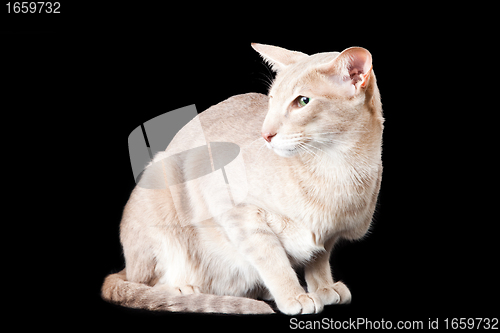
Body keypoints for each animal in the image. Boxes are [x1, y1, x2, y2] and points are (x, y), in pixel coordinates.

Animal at [100, 42, 382, 314]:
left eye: (303, 101)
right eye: (271, 100)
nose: (266, 134)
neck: (338, 170)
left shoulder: (330, 233)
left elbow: (318, 259)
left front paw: (323, 288)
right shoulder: (236, 210)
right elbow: (273, 260)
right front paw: (294, 296)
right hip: (162, 178)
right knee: (146, 281)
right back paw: (183, 288)